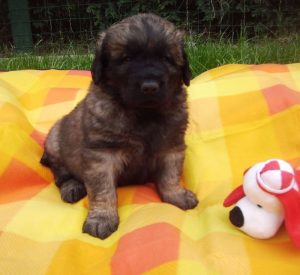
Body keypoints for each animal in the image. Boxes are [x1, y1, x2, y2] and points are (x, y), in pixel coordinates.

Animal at [40, 13, 199, 239]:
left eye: (166, 59)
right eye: (126, 59)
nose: (150, 87)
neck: (144, 114)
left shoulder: (172, 146)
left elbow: (170, 175)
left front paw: (176, 195)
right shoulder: (102, 155)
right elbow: (103, 190)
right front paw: (102, 218)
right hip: (55, 139)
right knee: (61, 174)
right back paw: (72, 187)